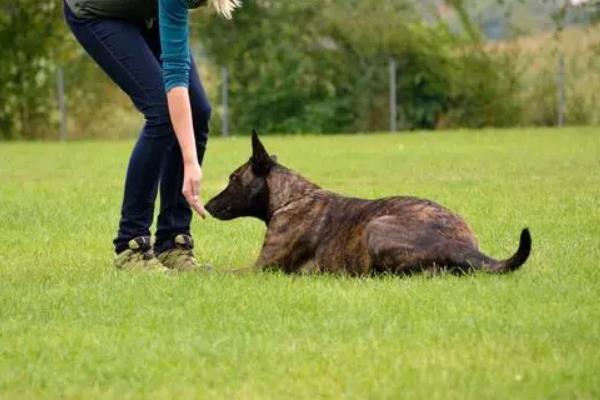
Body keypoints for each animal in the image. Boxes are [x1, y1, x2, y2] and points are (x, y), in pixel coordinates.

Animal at [205, 131, 528, 276]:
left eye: (233, 178)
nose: (206, 206)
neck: (291, 198)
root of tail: (458, 245)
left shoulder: (261, 268)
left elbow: (219, 272)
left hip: (376, 227)